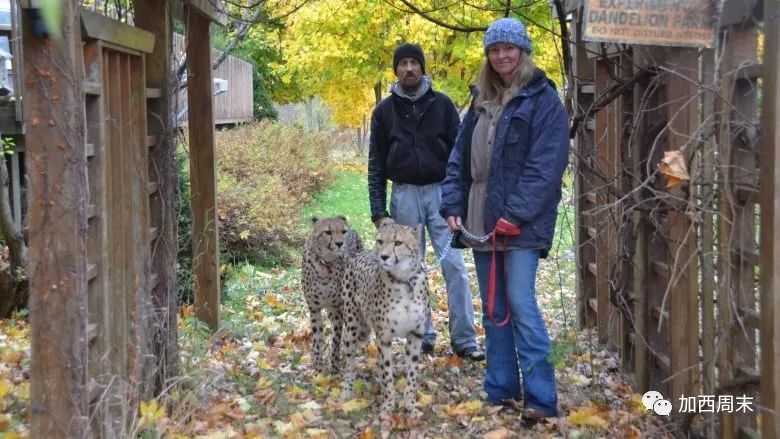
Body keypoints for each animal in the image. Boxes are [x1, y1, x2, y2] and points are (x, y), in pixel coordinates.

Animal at [300, 217, 364, 374]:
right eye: (327, 232)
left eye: (343, 231)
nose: (339, 243)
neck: (326, 264)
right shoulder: (314, 308)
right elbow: (317, 340)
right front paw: (318, 370)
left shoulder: (337, 309)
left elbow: (336, 339)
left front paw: (334, 367)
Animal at [340, 223, 426, 420]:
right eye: (380, 241)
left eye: (398, 242)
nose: (383, 256)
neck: (404, 281)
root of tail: (359, 254)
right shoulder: (385, 337)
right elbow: (387, 374)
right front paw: (388, 406)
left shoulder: (415, 335)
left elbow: (412, 374)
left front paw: (410, 405)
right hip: (353, 327)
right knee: (349, 360)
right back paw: (348, 389)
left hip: (365, 331)